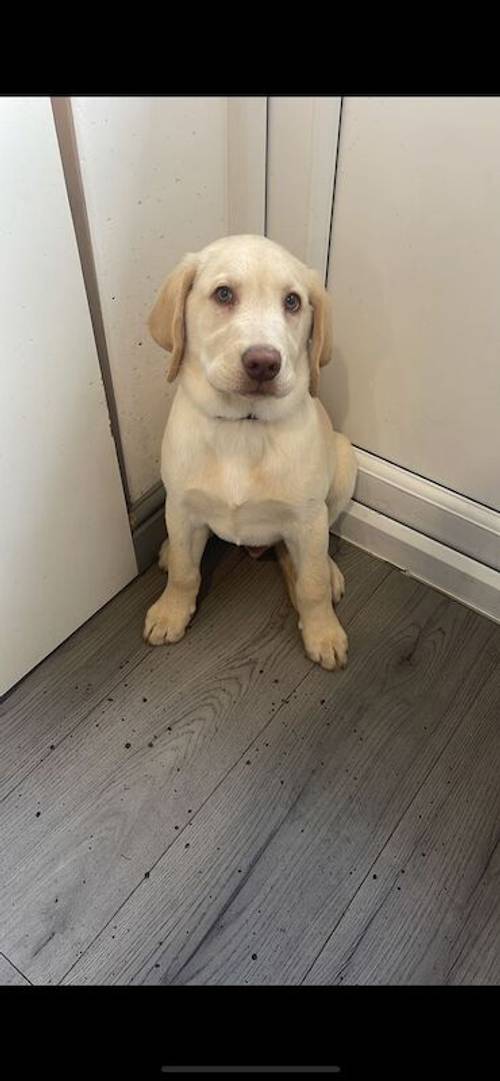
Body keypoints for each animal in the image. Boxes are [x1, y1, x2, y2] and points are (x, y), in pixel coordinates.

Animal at [142, 234, 358, 665]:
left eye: (292, 301)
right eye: (223, 294)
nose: (263, 363)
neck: (243, 425)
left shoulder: (307, 518)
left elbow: (310, 584)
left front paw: (323, 631)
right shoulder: (182, 505)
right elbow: (185, 572)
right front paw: (171, 611)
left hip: (345, 462)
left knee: (311, 549)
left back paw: (329, 572)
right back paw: (167, 550)